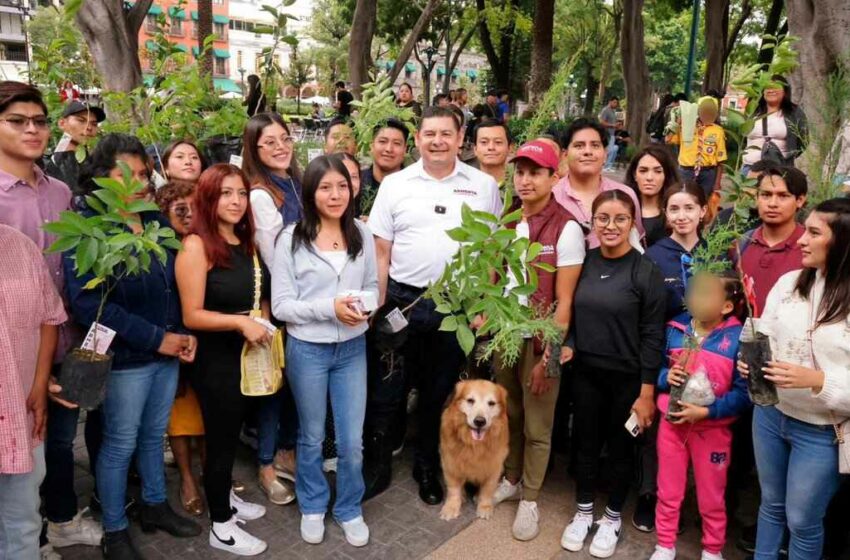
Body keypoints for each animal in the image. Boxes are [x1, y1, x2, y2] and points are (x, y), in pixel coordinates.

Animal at [438, 378, 504, 524]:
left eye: (491, 403)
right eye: (470, 400)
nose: (479, 421)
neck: (473, 444)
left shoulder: (495, 464)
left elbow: (487, 489)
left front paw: (484, 506)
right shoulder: (450, 461)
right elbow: (453, 489)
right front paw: (451, 507)